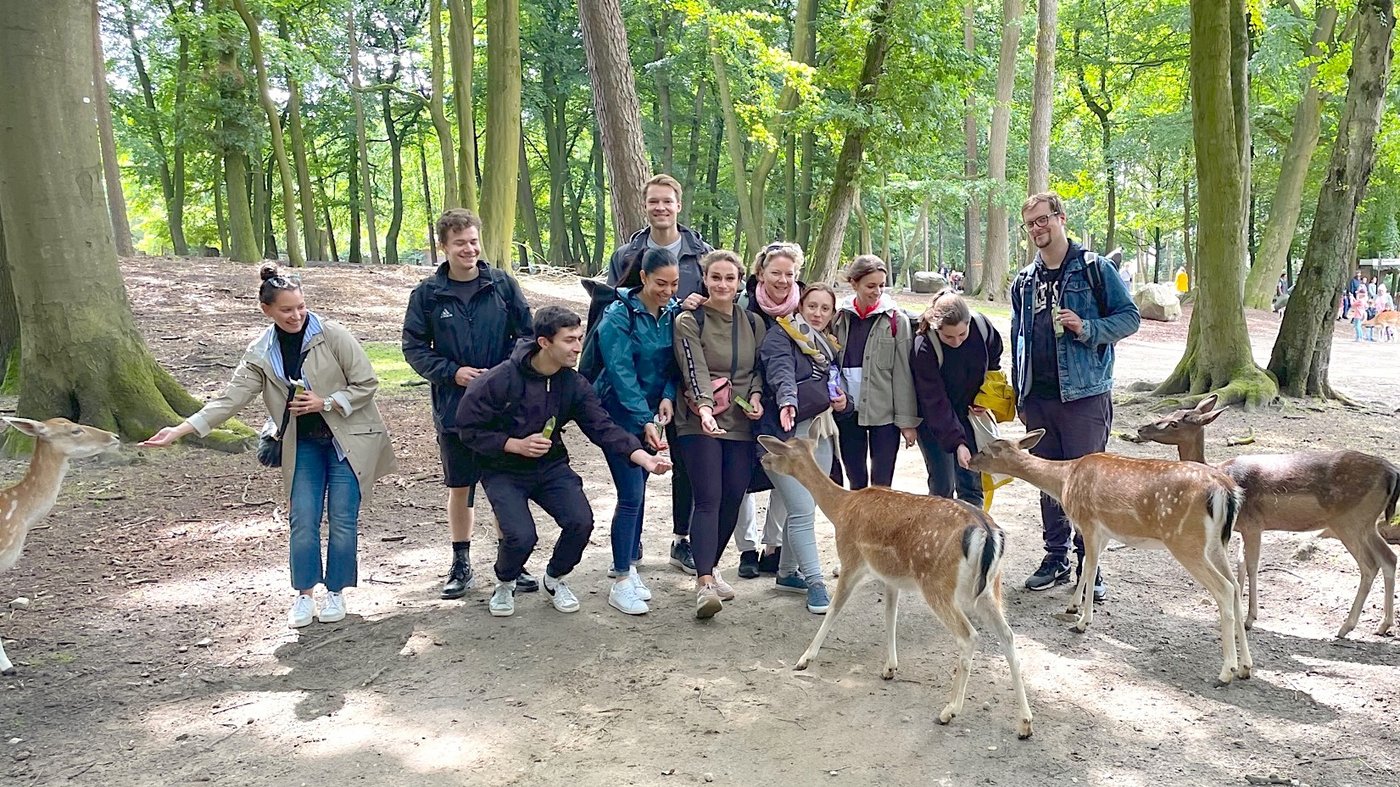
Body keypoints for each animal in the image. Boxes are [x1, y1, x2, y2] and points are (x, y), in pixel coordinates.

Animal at [756, 431, 1041, 739]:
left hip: (937, 584)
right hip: (991, 589)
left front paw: (804, 659)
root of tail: (987, 532)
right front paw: (889, 668)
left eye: (779, 450)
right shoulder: (891, 577)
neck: (840, 508)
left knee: (969, 636)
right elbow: (889, 616)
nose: (763, 459)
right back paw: (1025, 723)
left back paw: (949, 711)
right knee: (1008, 636)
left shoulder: (851, 558)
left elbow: (834, 609)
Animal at [968, 428, 1254, 686]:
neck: (1065, 481)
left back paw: (1226, 672)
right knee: (1236, 586)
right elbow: (1086, 568)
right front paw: (1072, 607)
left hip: (1186, 541)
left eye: (984, 450)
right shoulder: (1104, 532)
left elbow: (1091, 566)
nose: (969, 460)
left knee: (1225, 589)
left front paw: (1082, 622)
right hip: (1216, 543)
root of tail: (1226, 491)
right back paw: (1245, 667)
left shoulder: (1089, 522)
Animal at [1131, 394, 1394, 632]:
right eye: (1170, 413)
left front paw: (1250, 619)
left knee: (1370, 564)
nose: (1141, 428)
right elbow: (1239, 564)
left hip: (1349, 521)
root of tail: (1393, 471)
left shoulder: (1253, 524)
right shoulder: (1240, 528)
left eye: (1175, 423)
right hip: (1367, 523)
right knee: (1389, 557)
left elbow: (1252, 565)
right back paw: (1382, 625)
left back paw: (1346, 627)